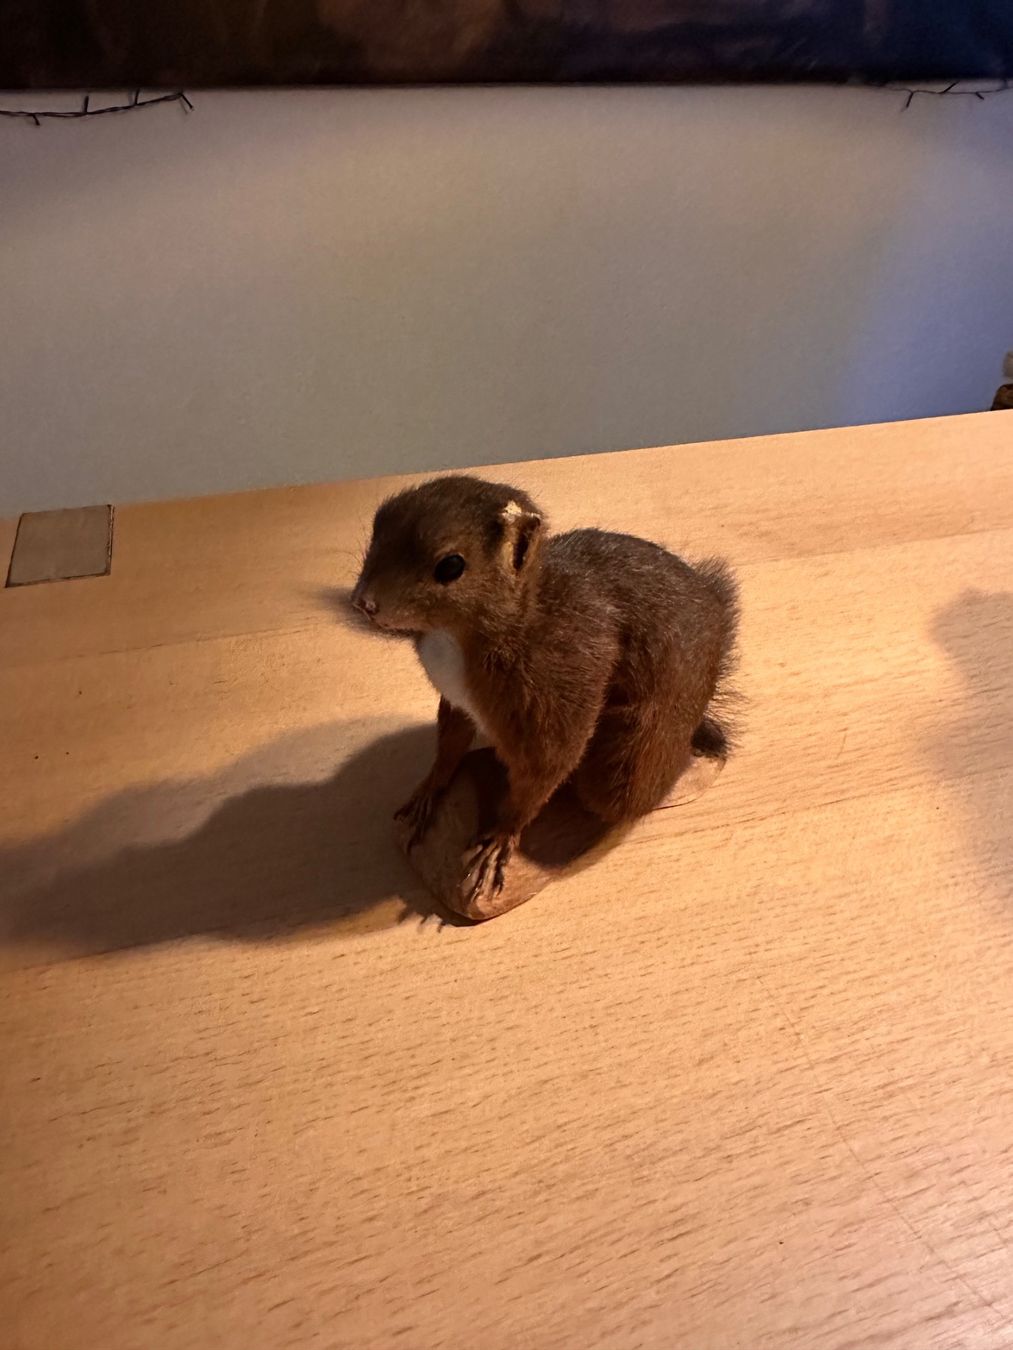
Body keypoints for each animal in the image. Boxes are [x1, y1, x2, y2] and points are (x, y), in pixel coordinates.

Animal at [351, 474, 739, 907]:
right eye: (379, 523)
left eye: (451, 565)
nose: (363, 602)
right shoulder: (458, 702)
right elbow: (450, 745)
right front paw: (429, 791)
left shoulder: (565, 682)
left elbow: (544, 770)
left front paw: (500, 838)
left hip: (628, 761)